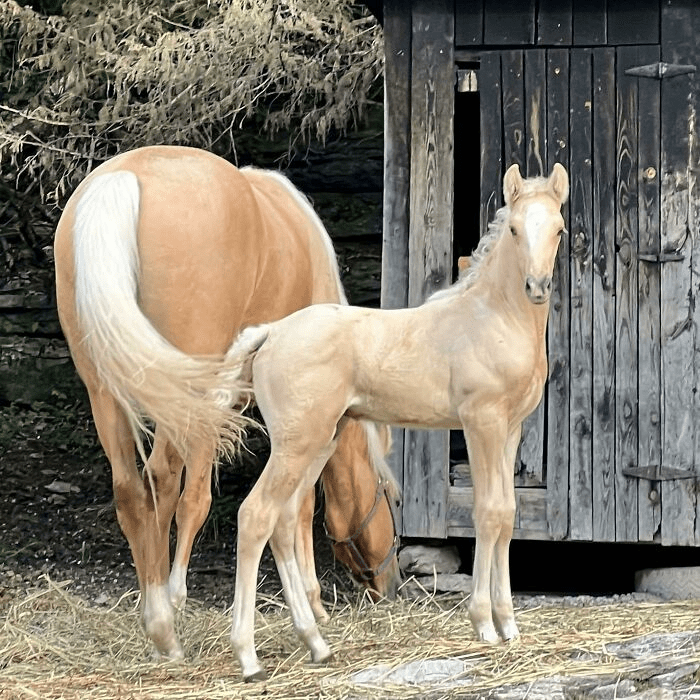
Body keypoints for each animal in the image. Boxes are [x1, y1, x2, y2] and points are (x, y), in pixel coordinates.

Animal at [227, 164, 572, 680]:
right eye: (513, 229)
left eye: (558, 229)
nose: (536, 287)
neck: (495, 318)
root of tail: (271, 332)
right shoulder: (481, 422)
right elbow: (488, 513)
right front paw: (484, 624)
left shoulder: (511, 428)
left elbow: (508, 515)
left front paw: (508, 623)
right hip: (297, 442)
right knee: (255, 517)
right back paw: (248, 656)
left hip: (318, 441)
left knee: (285, 521)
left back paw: (316, 643)